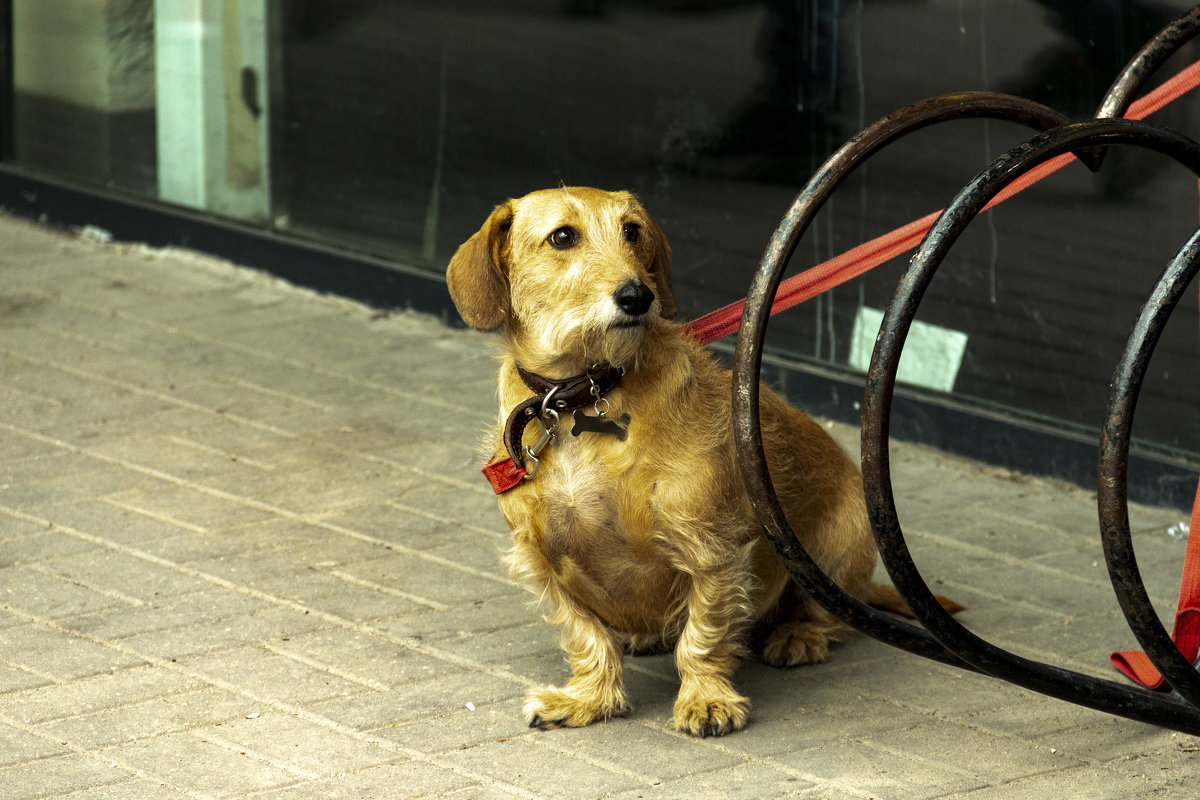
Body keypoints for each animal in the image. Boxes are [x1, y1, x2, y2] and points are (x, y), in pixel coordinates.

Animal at [446, 188, 960, 738]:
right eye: (562, 236)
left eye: (632, 231)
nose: (638, 297)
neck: (579, 397)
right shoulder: (543, 560)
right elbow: (586, 636)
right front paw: (589, 698)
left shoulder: (711, 549)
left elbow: (704, 635)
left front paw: (707, 700)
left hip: (831, 554)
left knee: (827, 611)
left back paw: (799, 635)